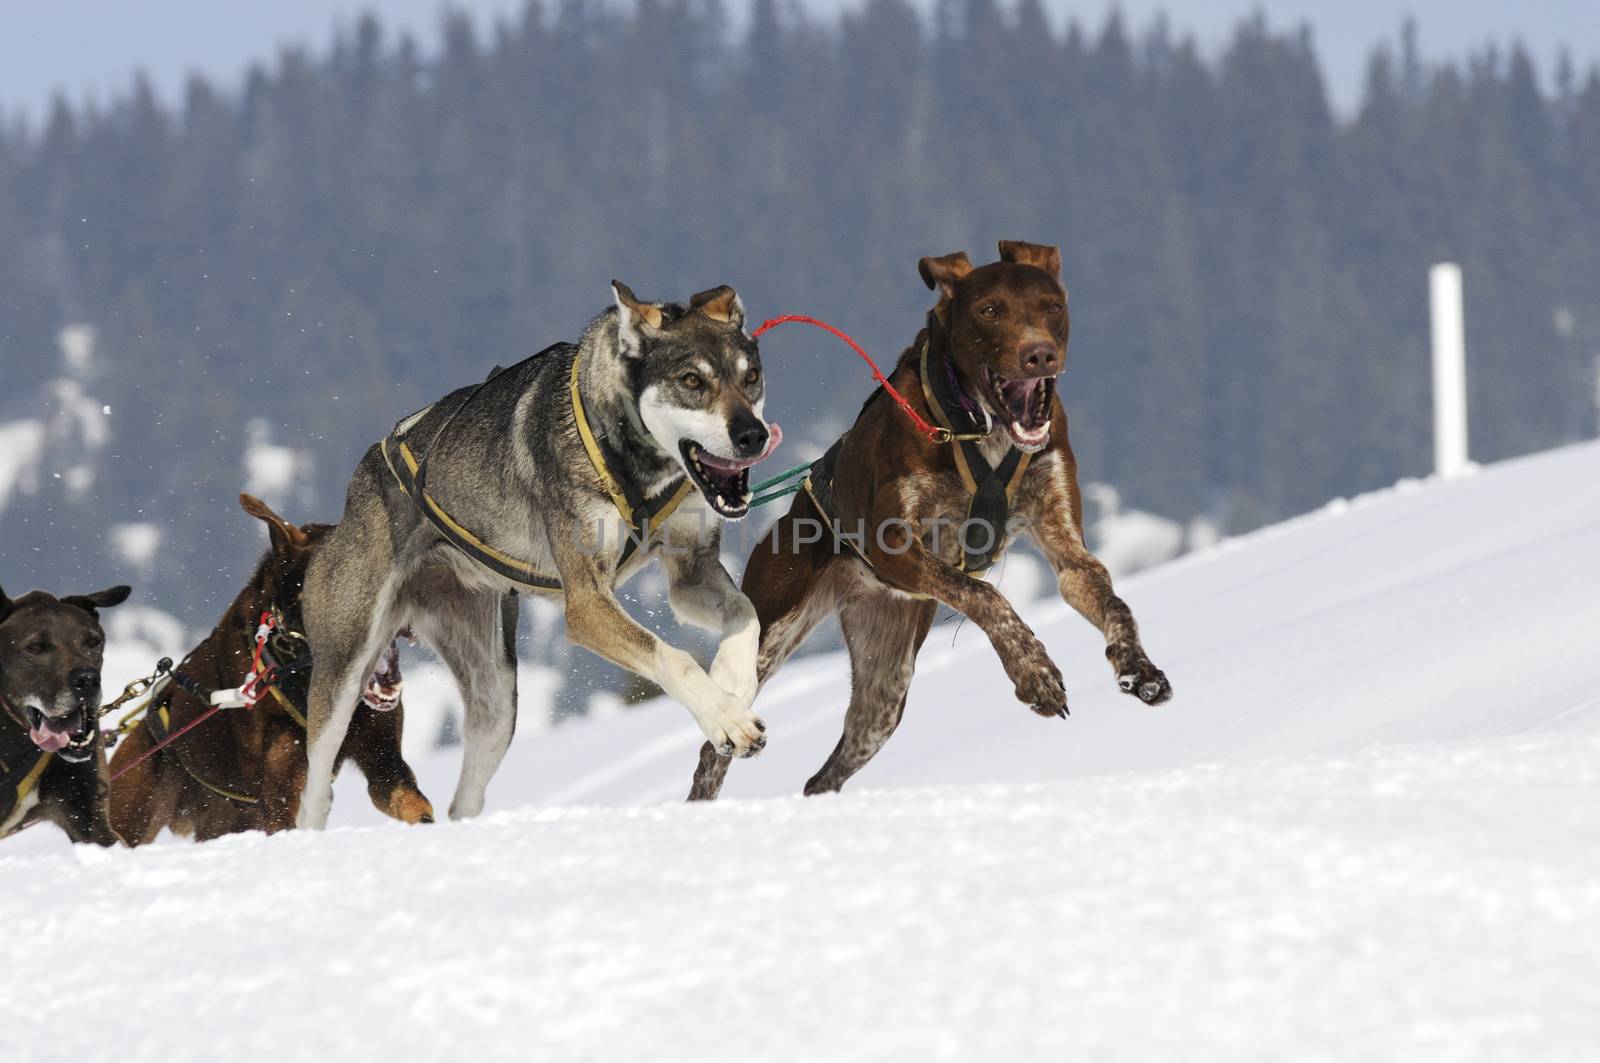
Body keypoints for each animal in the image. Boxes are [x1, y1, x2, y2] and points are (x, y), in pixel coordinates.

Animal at [299, 280, 780, 819]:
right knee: (317, 787)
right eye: (692, 380)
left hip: (497, 701)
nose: (753, 435)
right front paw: (724, 716)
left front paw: (733, 683)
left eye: (751, 376)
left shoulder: (691, 572)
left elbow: (745, 611)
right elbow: (672, 656)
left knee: (466, 797)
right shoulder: (587, 603)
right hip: (345, 670)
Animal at [691, 240, 1177, 800]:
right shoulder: (895, 546)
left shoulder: (1065, 546)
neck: (979, 426)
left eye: (1052, 306)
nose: (1040, 354)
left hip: (886, 688)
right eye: (989, 310)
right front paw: (1033, 671)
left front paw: (1137, 666)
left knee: (826, 772)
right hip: (768, 634)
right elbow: (985, 595)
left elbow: (1109, 597)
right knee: (713, 747)